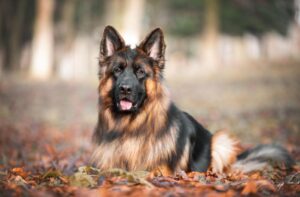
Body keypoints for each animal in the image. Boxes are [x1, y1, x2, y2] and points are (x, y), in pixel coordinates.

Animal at [90, 25, 294, 175]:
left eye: (140, 72)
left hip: (221, 141)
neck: (130, 128)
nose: (125, 89)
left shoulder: (161, 169)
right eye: (117, 70)